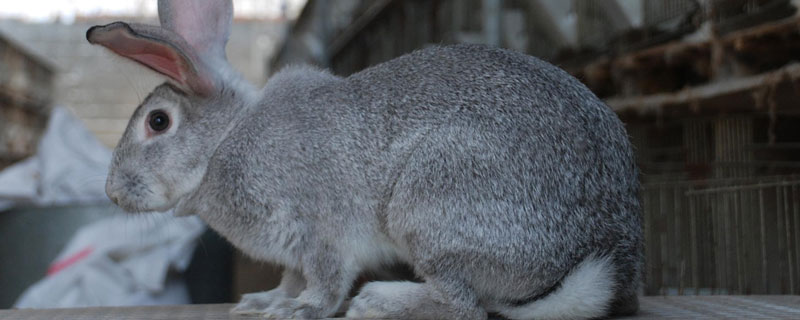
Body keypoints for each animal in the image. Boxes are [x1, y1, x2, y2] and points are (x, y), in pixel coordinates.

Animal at [90, 1, 644, 318]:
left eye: (158, 122)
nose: (112, 192)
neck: (226, 141)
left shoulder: (320, 229)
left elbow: (326, 279)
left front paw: (299, 311)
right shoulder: (294, 252)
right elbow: (291, 277)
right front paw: (266, 302)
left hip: (431, 204)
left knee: (464, 306)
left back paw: (382, 302)